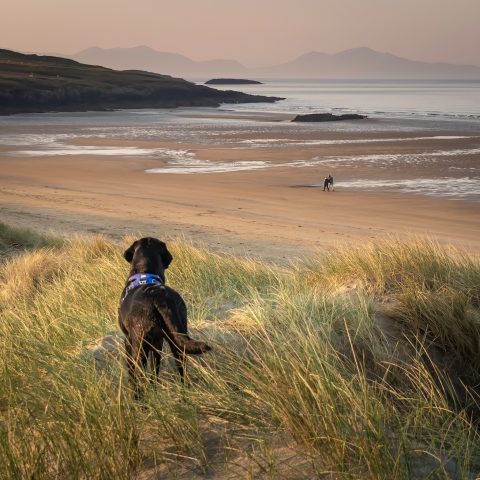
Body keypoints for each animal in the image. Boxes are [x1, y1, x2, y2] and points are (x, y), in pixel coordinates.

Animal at [118, 237, 210, 386]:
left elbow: (131, 369)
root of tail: (158, 296)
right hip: (177, 339)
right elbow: (154, 370)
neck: (145, 273)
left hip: (140, 344)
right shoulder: (158, 342)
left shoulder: (128, 340)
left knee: (139, 373)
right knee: (182, 369)